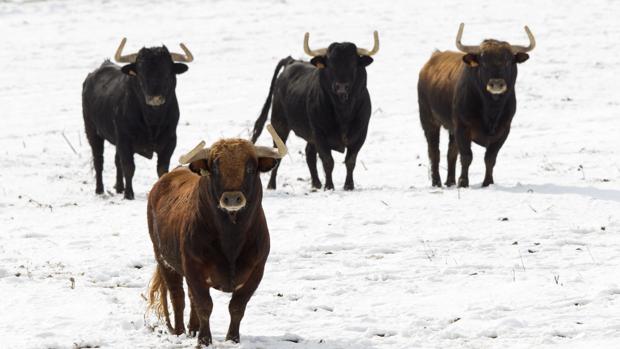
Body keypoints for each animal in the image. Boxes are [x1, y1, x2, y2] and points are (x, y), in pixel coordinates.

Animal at [82, 38, 193, 198]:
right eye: (141, 75)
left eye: (168, 73)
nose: (155, 98)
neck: (152, 120)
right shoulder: (125, 140)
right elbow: (129, 167)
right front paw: (129, 194)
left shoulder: (170, 140)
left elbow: (162, 169)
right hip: (92, 131)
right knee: (99, 160)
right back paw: (100, 190)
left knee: (116, 161)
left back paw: (119, 188)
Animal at [147, 125, 286, 346]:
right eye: (216, 169)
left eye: (250, 168)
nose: (232, 198)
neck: (232, 239)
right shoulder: (194, 268)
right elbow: (205, 305)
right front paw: (204, 340)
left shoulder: (256, 271)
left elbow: (237, 307)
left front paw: (232, 338)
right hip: (164, 261)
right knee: (178, 297)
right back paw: (180, 331)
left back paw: (193, 329)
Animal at [251, 32, 378, 190]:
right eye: (330, 65)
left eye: (353, 64)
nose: (341, 86)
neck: (343, 112)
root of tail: (292, 62)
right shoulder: (319, 134)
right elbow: (328, 161)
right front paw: (329, 186)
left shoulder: (360, 134)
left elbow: (350, 161)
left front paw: (349, 185)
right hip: (279, 123)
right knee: (279, 154)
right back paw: (271, 185)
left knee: (309, 154)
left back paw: (316, 184)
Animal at [418, 23, 536, 188]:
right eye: (484, 62)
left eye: (508, 61)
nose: (496, 83)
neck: (491, 110)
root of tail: (431, 61)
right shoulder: (462, 127)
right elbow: (467, 156)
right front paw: (463, 182)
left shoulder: (504, 130)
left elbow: (490, 158)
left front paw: (488, 182)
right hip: (429, 121)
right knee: (434, 152)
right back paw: (437, 182)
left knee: (451, 153)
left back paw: (450, 181)